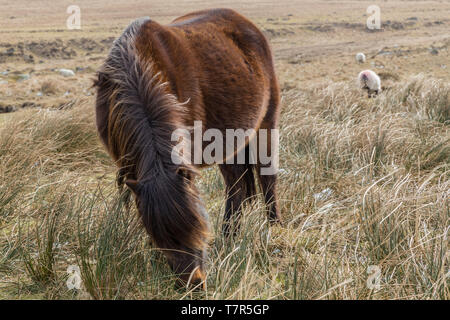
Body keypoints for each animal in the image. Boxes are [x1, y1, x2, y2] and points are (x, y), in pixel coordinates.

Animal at [93, 8, 280, 288]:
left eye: (196, 223)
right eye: (159, 236)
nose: (194, 285)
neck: (139, 69)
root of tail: (246, 23)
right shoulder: (127, 165)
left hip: (265, 126)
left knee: (265, 180)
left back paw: (272, 229)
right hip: (231, 141)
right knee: (237, 185)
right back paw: (230, 236)